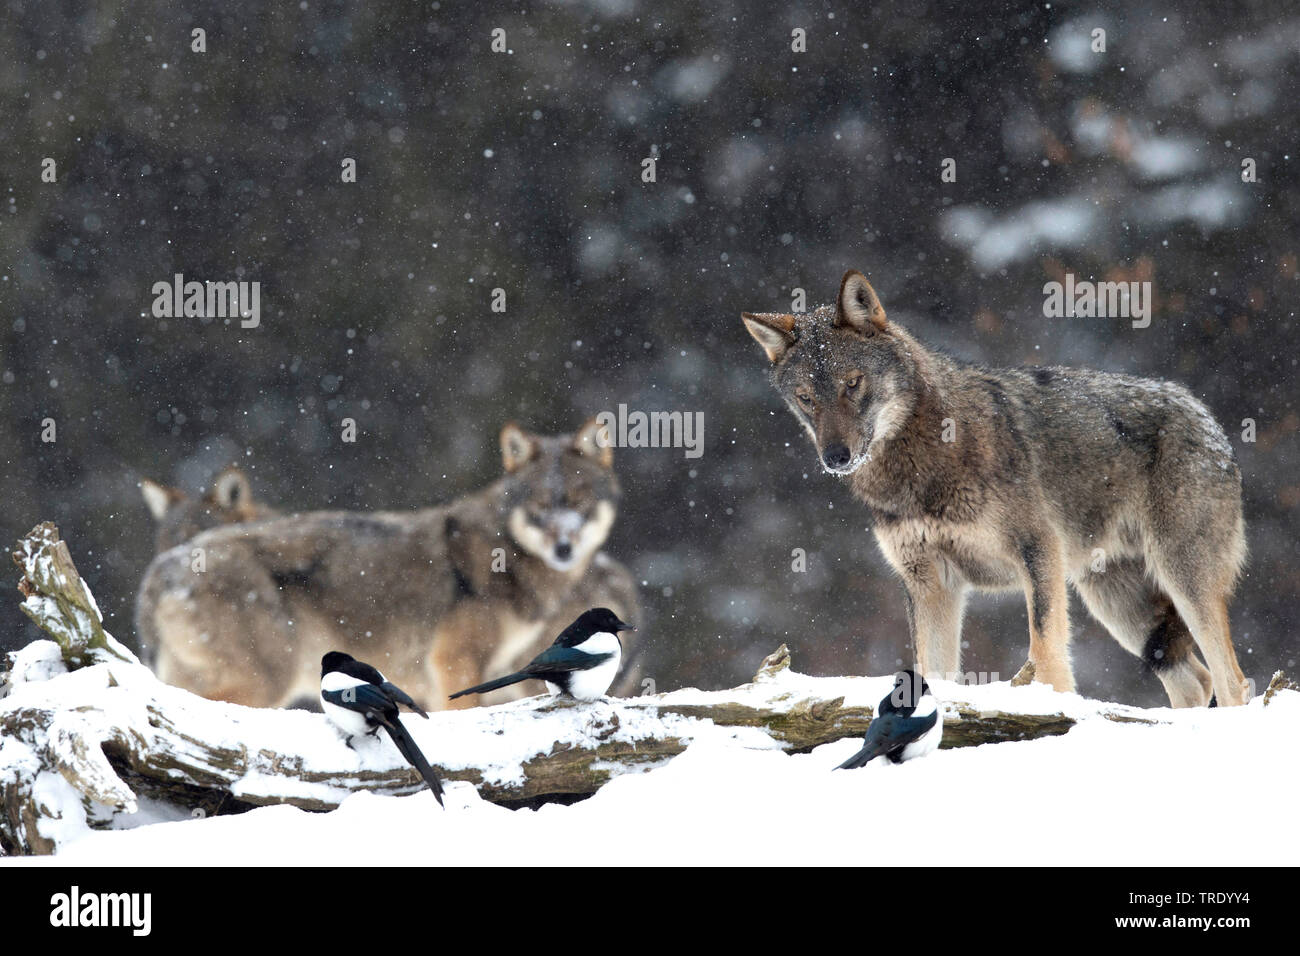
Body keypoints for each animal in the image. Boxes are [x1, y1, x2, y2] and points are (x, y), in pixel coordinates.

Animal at [137, 418, 639, 712]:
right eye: (539, 505)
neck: (507, 556)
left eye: (579, 500)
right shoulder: (455, 667)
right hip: (266, 684)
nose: (564, 547)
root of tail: (162, 569)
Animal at [743, 267, 1248, 702]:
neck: (919, 470)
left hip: (1180, 580)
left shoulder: (1038, 554)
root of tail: (1205, 416)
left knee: (1232, 680)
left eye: (853, 383)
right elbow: (932, 672)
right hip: (1120, 607)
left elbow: (1044, 653)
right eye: (806, 398)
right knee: (1196, 681)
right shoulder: (929, 584)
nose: (836, 458)